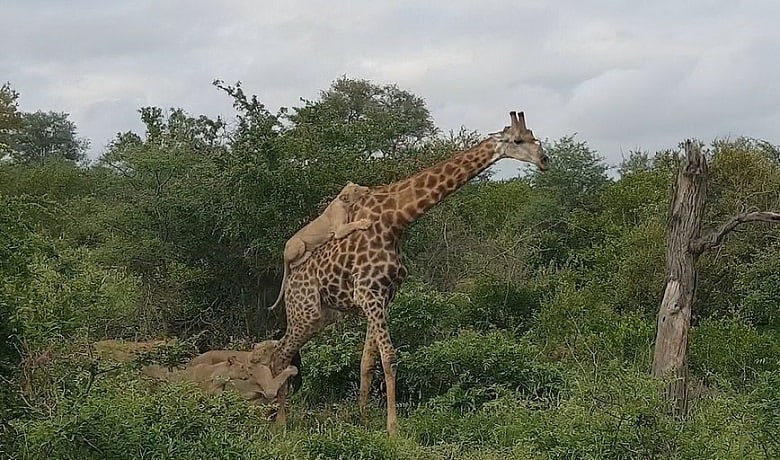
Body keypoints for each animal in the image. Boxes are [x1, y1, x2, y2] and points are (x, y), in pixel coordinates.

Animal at [268, 181, 372, 310]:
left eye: (357, 186)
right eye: (356, 191)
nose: (367, 189)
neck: (342, 203)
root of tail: (284, 253)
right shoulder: (339, 230)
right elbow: (352, 224)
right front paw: (365, 223)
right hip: (299, 244)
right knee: (292, 264)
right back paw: (307, 254)